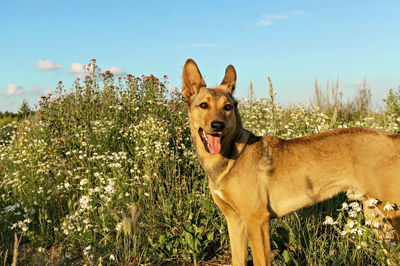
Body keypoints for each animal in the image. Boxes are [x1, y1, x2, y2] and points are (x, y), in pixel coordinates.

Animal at [182, 58, 400, 266]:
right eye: (203, 105)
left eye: (227, 107)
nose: (217, 125)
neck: (230, 157)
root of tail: (393, 138)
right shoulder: (235, 221)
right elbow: (238, 260)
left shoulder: (257, 221)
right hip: (375, 216)